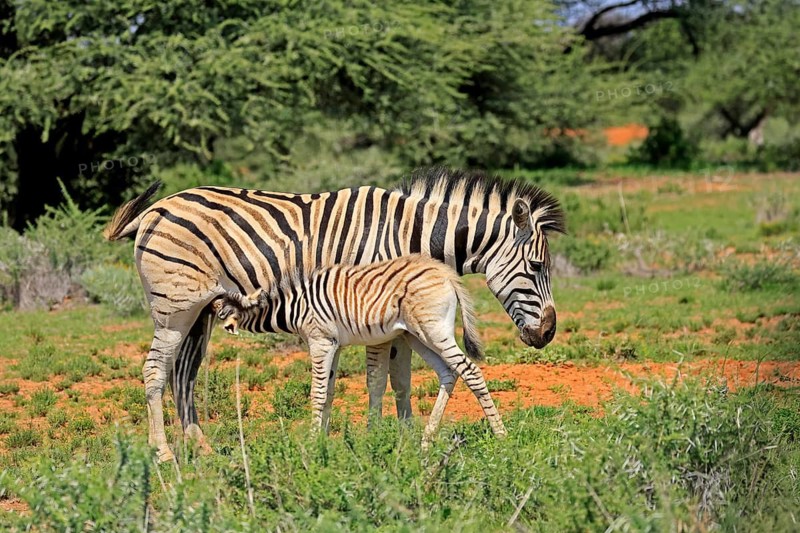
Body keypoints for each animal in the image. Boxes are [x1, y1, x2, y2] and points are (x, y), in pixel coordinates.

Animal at [211, 254, 506, 444]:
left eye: (216, 309)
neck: (295, 304)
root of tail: (446, 273)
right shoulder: (334, 344)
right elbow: (329, 392)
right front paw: (323, 440)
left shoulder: (320, 341)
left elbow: (317, 393)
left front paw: (311, 443)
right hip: (417, 336)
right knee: (449, 372)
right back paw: (426, 438)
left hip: (434, 331)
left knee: (470, 371)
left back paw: (500, 435)